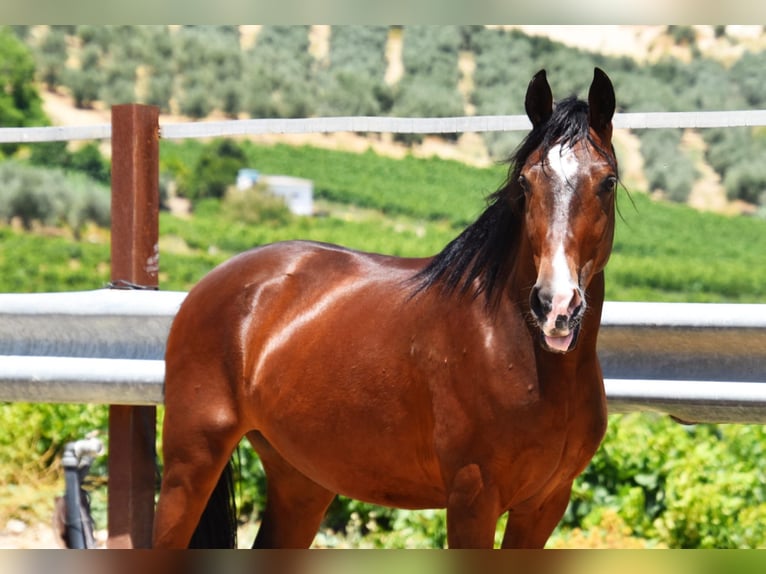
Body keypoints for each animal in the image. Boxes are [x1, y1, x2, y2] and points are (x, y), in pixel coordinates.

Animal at [152, 67, 618, 549]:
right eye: (525, 182)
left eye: (608, 181)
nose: (555, 305)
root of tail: (210, 285)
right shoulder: (472, 498)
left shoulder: (543, 507)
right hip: (192, 461)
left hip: (300, 478)